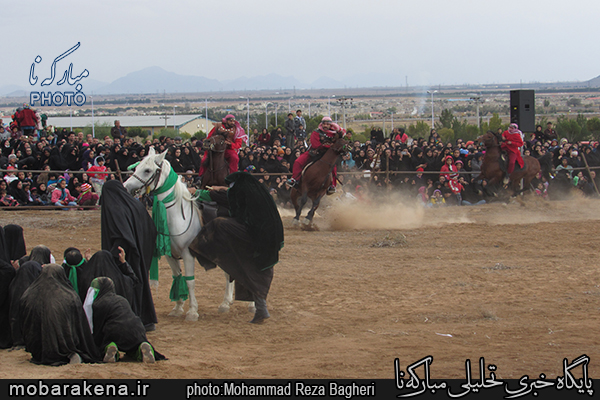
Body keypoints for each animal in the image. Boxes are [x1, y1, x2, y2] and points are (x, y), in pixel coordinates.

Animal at [122, 147, 253, 322]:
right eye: (137, 167)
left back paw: (252, 304)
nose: (126, 186)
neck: (178, 215)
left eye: (147, 170)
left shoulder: (187, 254)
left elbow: (190, 282)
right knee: (229, 273)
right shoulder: (170, 256)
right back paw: (226, 303)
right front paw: (177, 308)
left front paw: (192, 311)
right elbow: (177, 278)